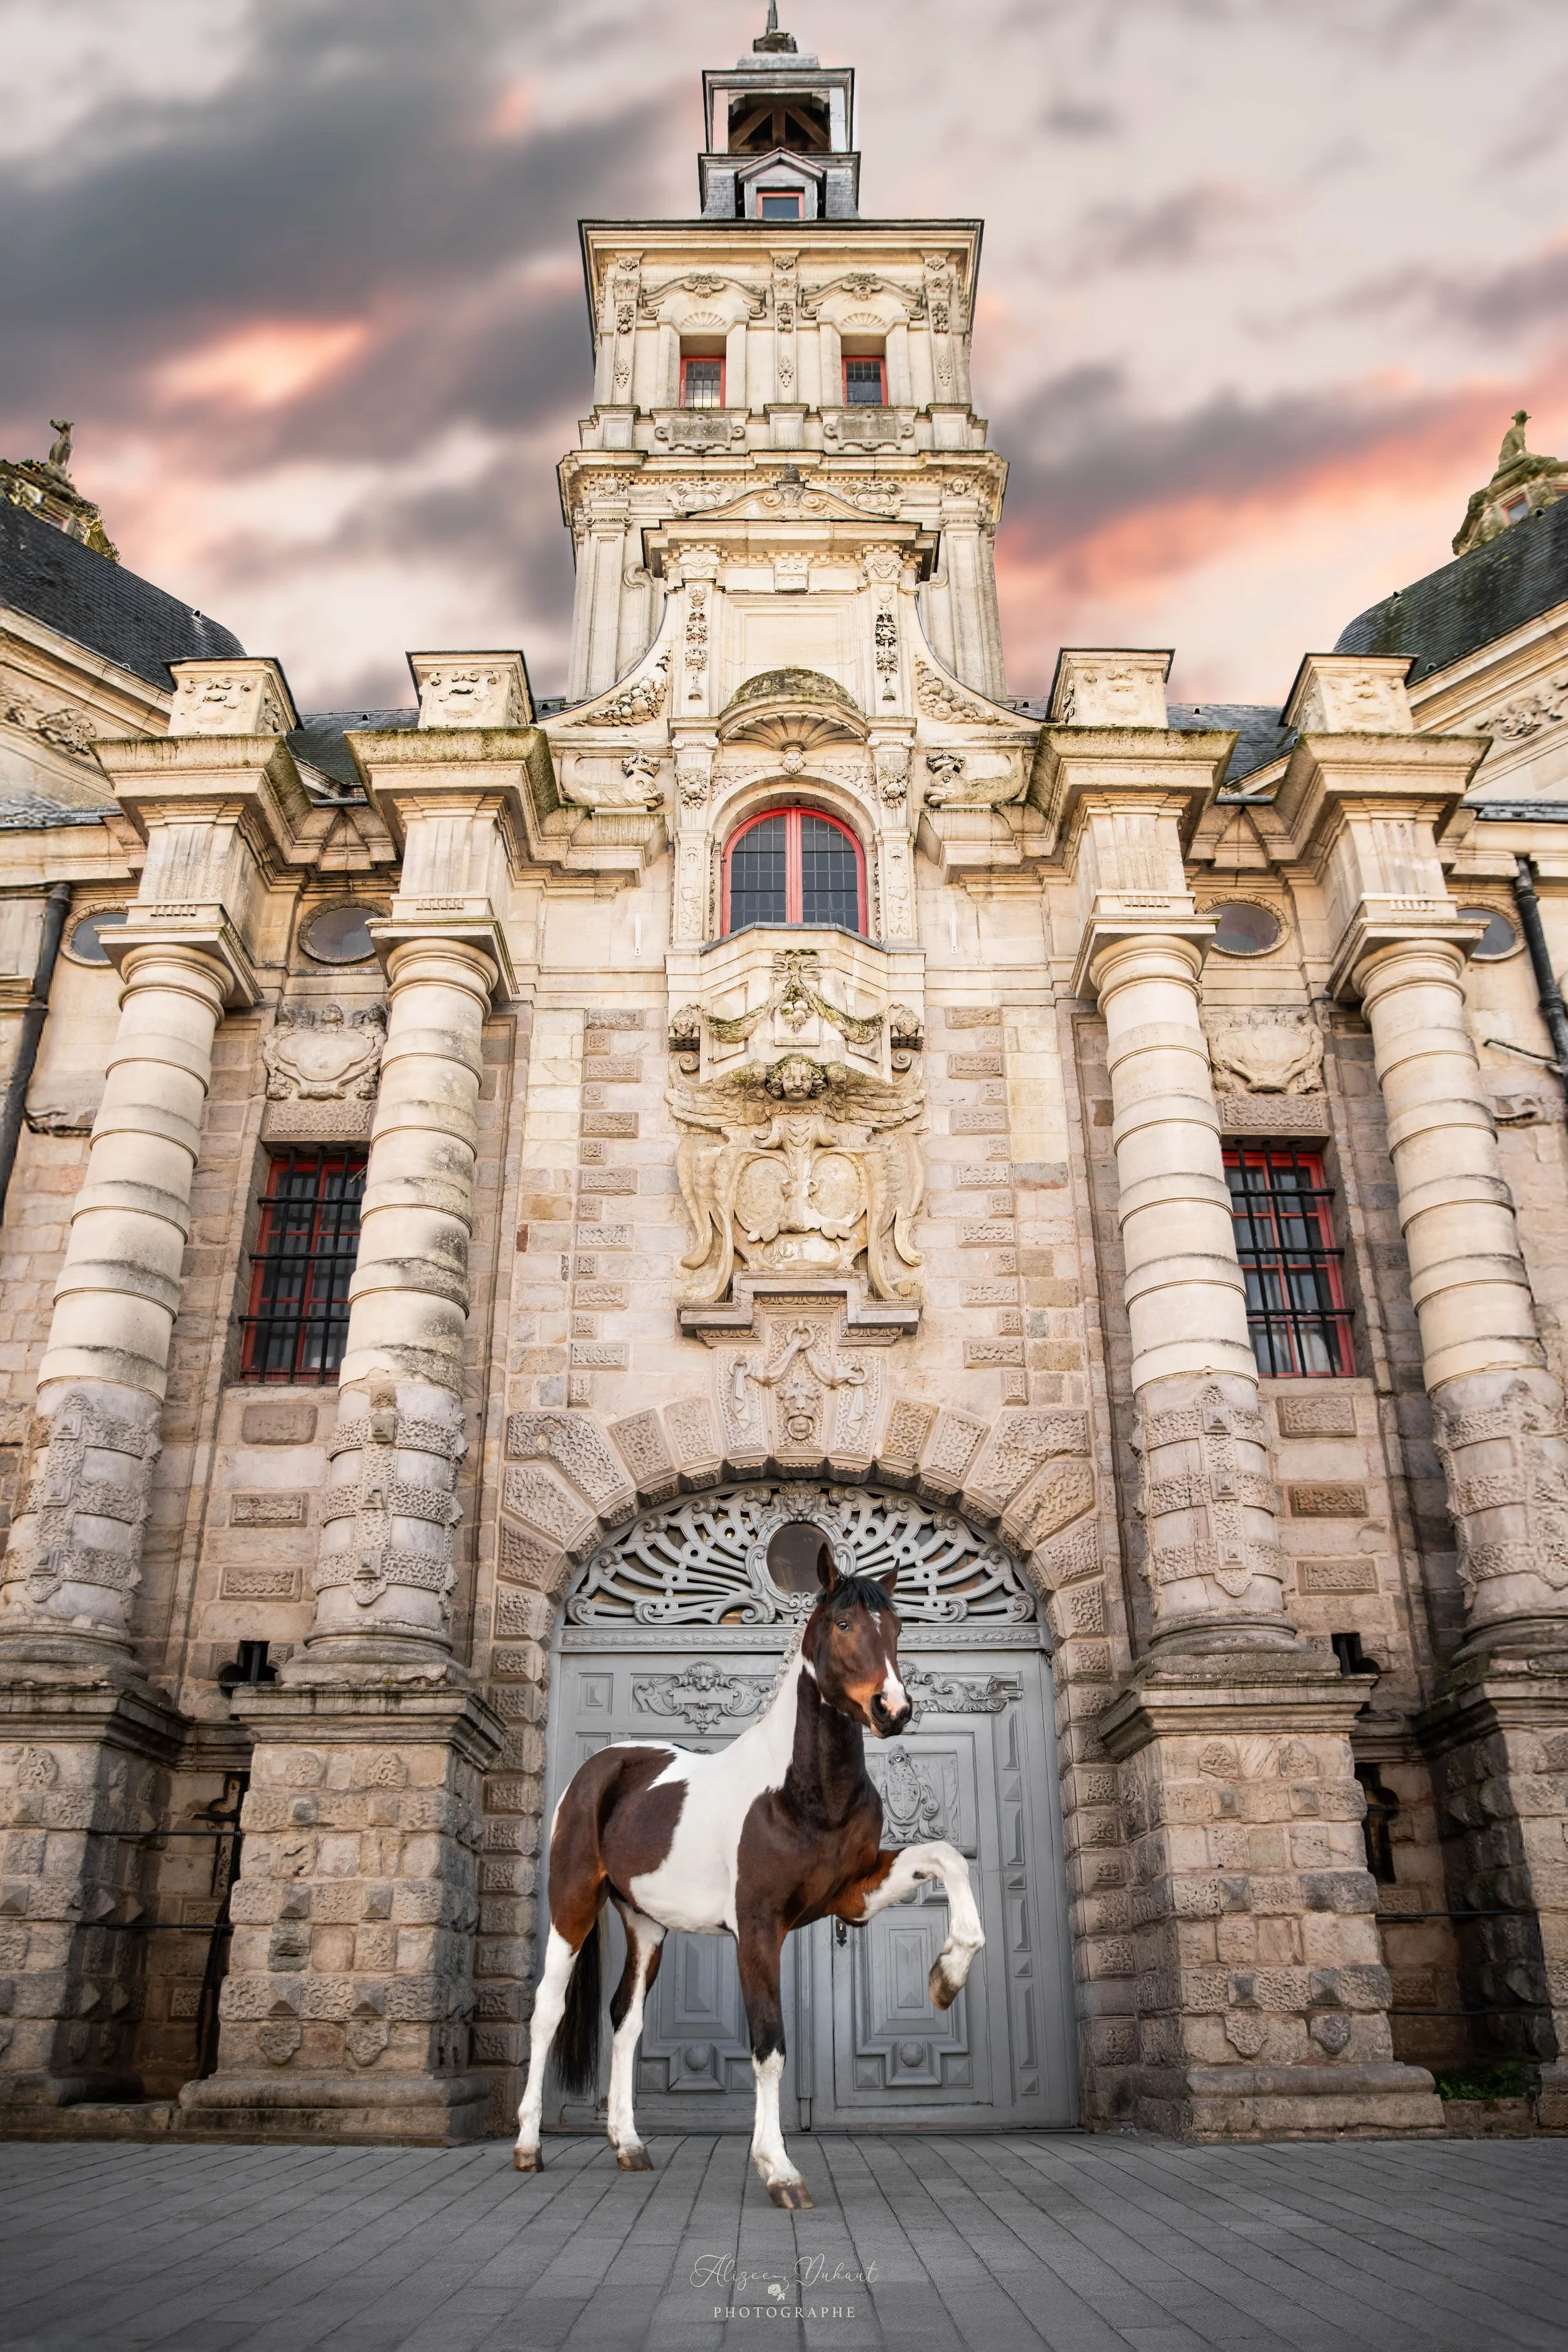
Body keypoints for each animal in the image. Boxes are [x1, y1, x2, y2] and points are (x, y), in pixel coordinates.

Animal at [513, 1542, 986, 2206]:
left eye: (897, 1627)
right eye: (844, 1623)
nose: (892, 1710)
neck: (800, 1792)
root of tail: (605, 1765)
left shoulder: (852, 1897)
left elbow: (946, 1857)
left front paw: (947, 1977)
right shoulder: (758, 1930)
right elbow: (769, 2047)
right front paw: (779, 2169)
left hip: (647, 1926)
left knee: (626, 2020)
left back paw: (628, 2145)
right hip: (573, 1902)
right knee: (547, 2012)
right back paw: (528, 2146)